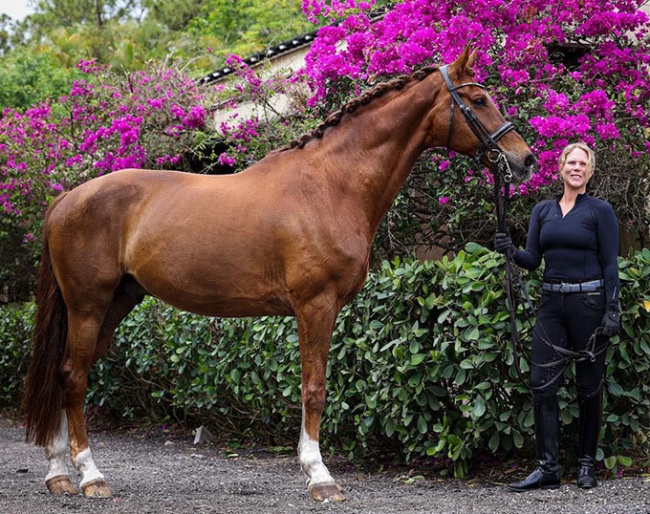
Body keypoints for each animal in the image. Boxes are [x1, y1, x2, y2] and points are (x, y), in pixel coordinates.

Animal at [22, 46, 536, 498]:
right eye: (478, 100)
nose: (524, 158)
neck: (330, 184)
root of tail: (65, 200)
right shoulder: (315, 305)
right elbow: (315, 389)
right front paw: (320, 477)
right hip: (88, 304)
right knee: (73, 377)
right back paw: (91, 477)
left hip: (116, 303)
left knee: (68, 374)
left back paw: (59, 474)